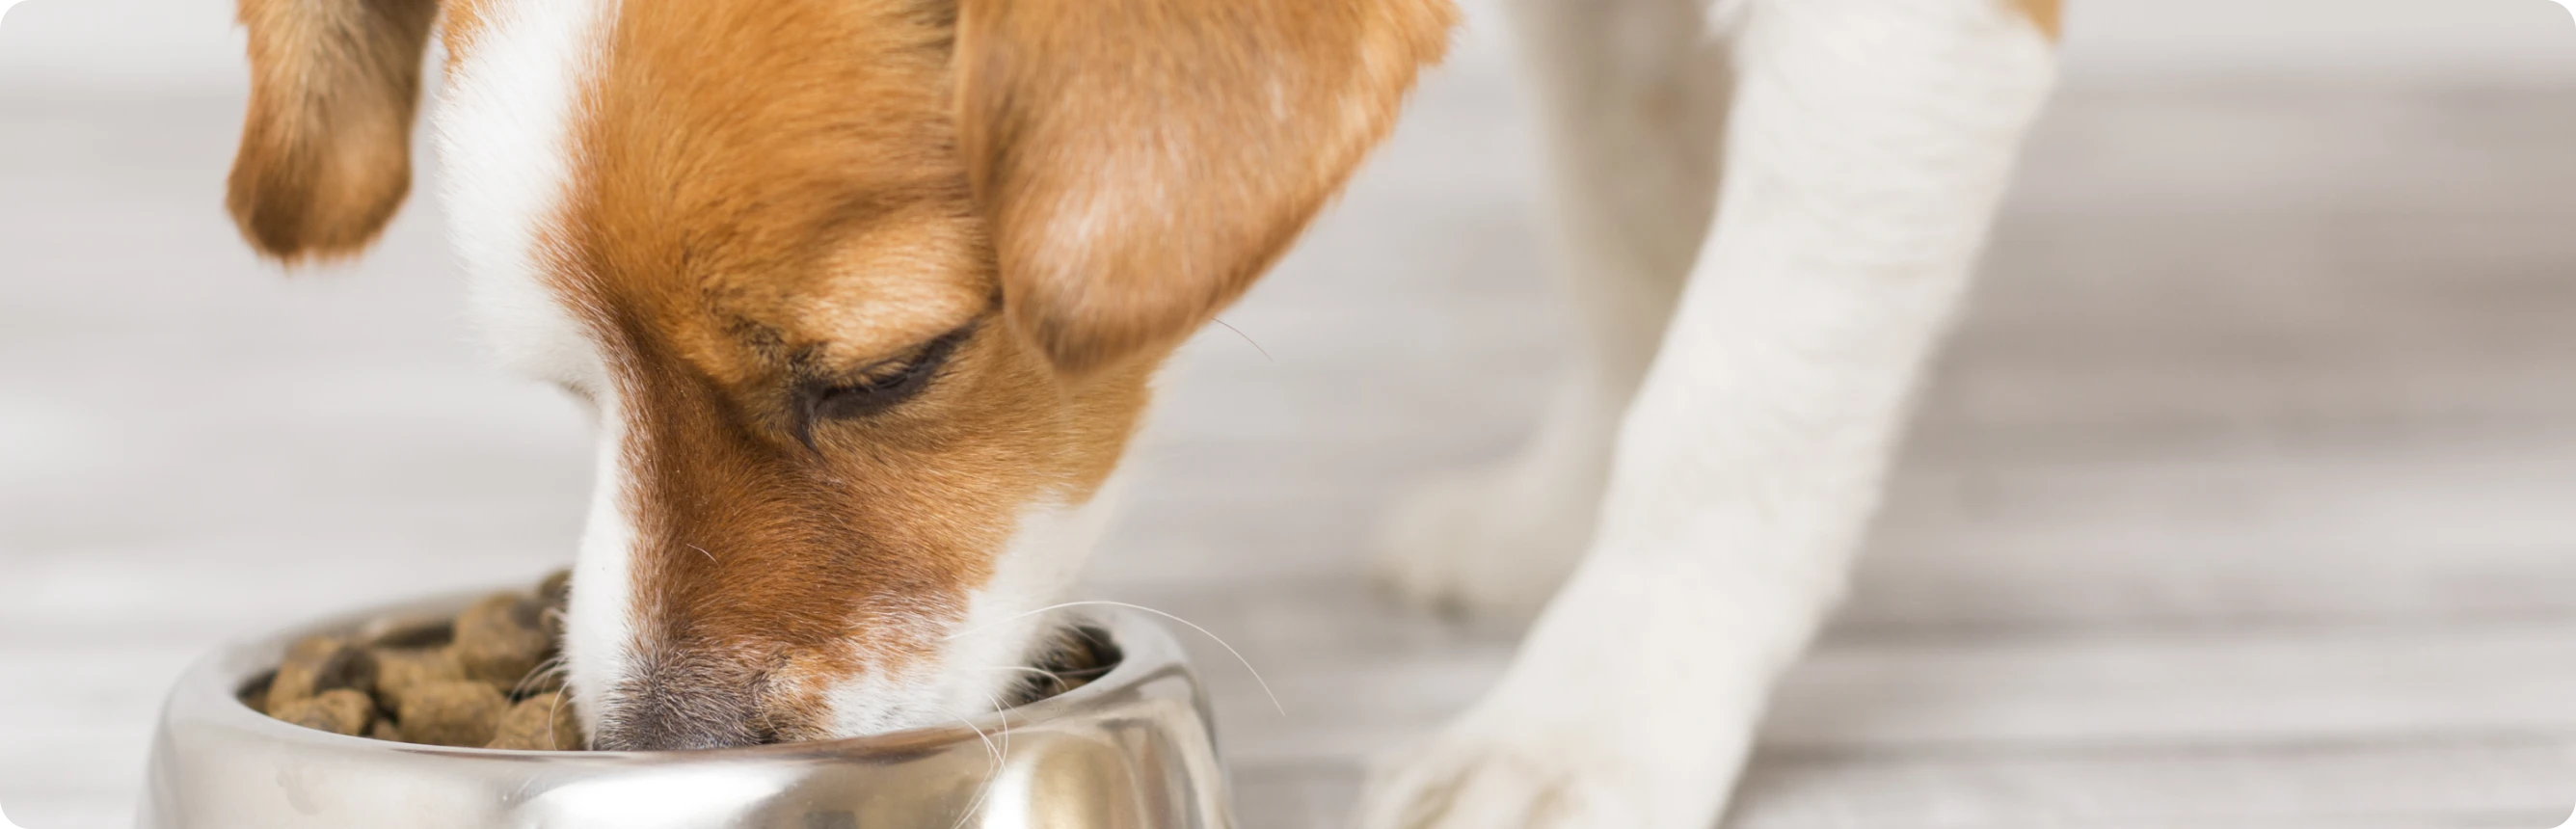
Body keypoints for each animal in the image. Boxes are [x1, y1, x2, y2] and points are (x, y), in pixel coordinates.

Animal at [231, 0, 2060, 823]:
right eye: (574, 393)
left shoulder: (1900, 43)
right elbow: (1629, 248)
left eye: (885, 371)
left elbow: (1734, 399)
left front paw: (1590, 721)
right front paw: (1562, 520)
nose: (656, 758)